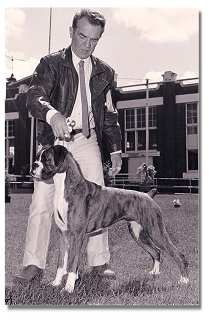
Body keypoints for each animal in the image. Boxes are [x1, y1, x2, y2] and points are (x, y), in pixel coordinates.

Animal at [31, 145, 189, 292]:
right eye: (38, 157)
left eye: (46, 159)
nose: (34, 165)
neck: (65, 187)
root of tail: (147, 195)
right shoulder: (63, 236)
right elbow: (61, 263)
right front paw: (56, 283)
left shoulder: (76, 236)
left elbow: (71, 263)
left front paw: (68, 288)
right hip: (138, 233)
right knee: (156, 252)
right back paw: (154, 273)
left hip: (156, 231)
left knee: (178, 254)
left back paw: (184, 280)